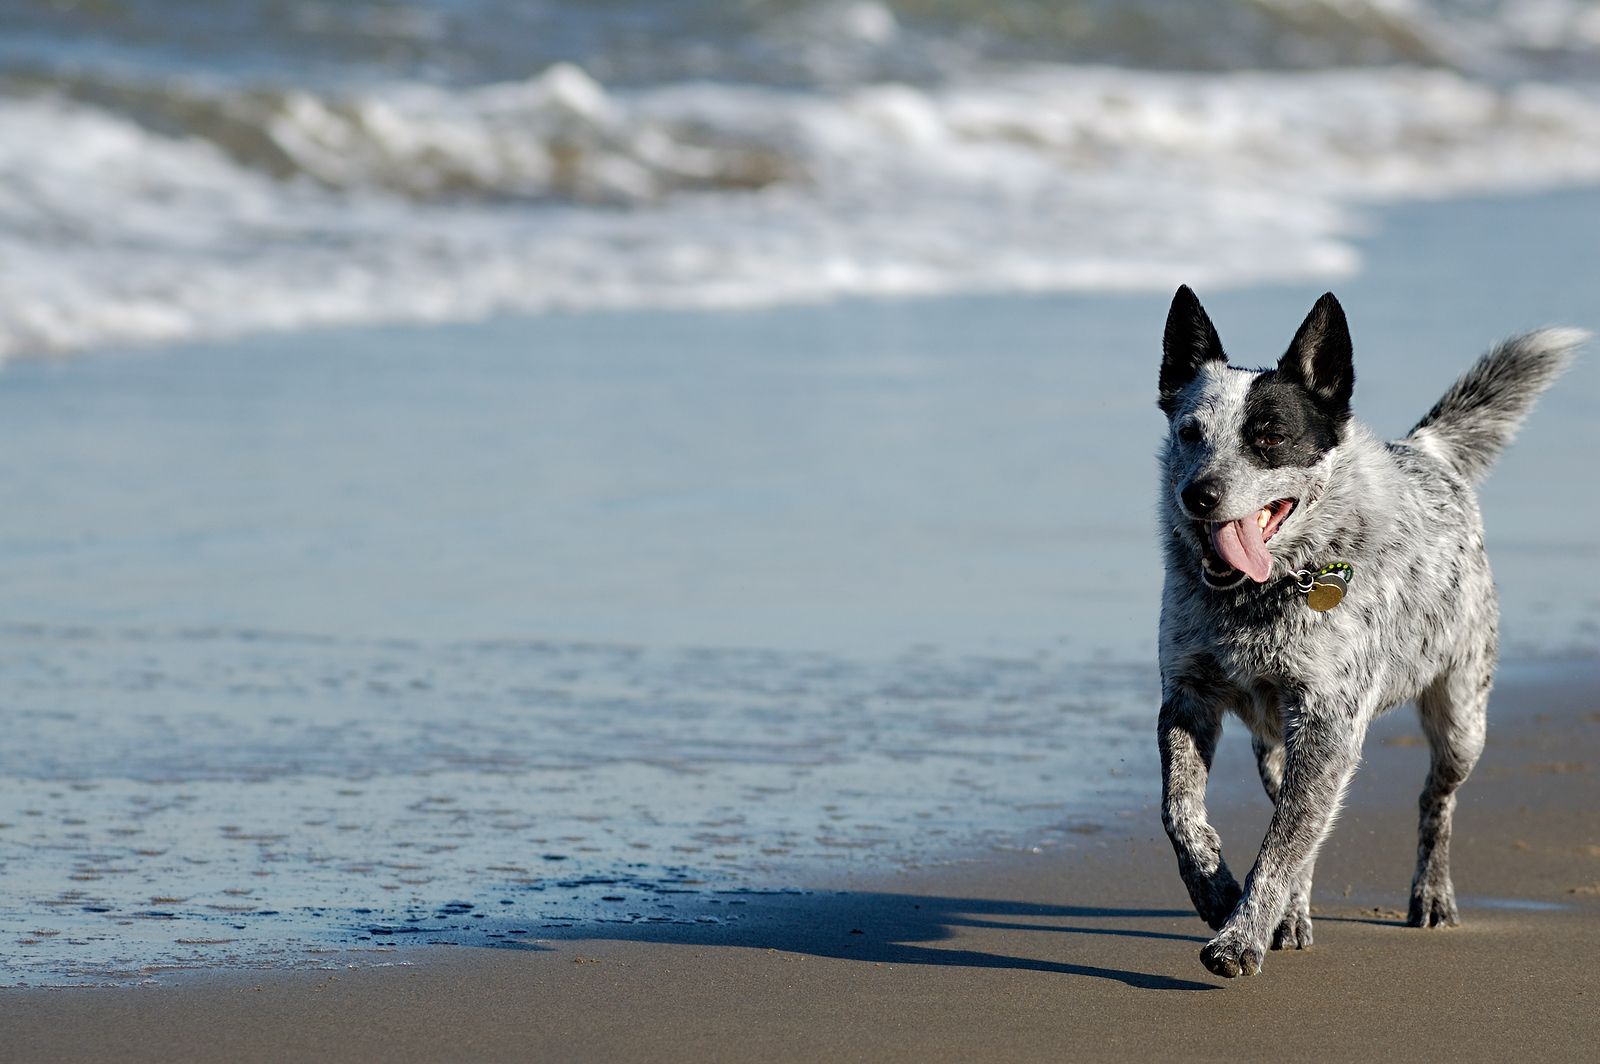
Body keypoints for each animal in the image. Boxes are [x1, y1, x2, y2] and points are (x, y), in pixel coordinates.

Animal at [1158, 284, 1580, 979]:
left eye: (1270, 436)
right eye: (1190, 433)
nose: (1199, 494)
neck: (1265, 593)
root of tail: (1427, 449)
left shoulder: (1330, 720)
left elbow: (1282, 845)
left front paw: (1239, 939)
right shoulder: (1188, 695)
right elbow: (1182, 812)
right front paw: (1216, 892)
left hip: (1462, 718)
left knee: (1434, 801)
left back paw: (1430, 895)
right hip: (1278, 745)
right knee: (1296, 812)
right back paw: (1292, 916)